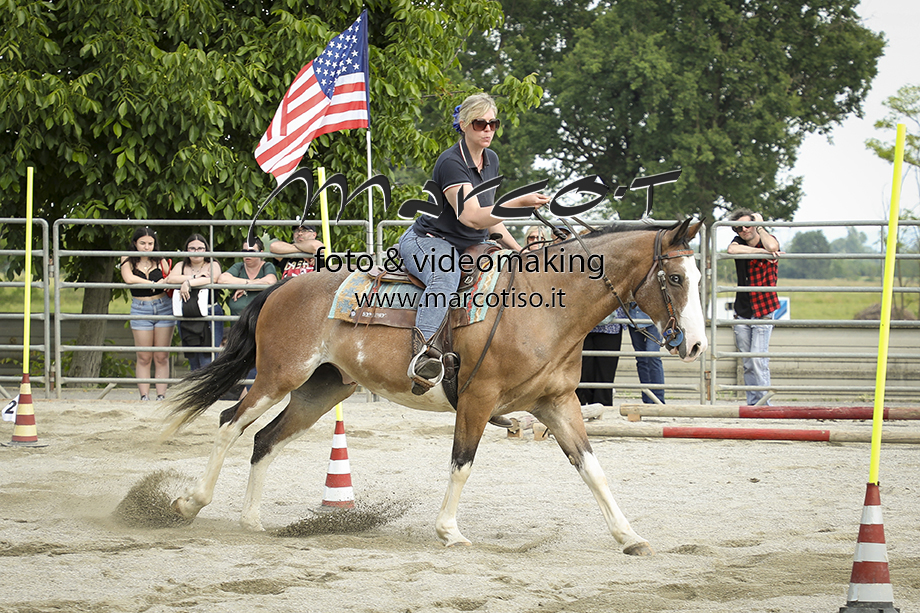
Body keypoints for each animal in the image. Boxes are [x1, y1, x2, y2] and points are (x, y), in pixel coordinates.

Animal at [165, 218, 707, 556]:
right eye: (676, 278)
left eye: (698, 277)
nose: (697, 344)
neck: (546, 306)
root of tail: (283, 286)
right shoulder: (477, 399)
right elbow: (462, 463)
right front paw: (449, 532)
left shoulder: (557, 404)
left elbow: (592, 470)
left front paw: (629, 536)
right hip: (280, 376)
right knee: (229, 423)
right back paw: (190, 503)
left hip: (321, 391)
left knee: (264, 439)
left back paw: (252, 521)